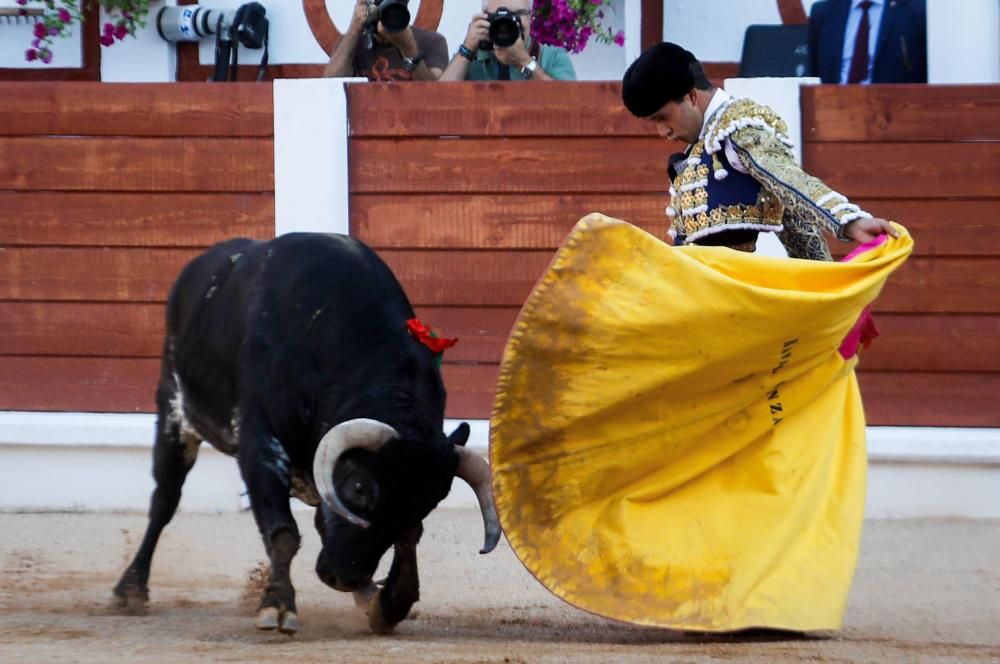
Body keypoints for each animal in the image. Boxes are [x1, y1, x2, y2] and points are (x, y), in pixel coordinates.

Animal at [113, 232, 500, 632]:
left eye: (427, 504)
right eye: (360, 488)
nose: (344, 577)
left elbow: (407, 537)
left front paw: (389, 602)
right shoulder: (260, 445)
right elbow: (283, 532)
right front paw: (278, 605)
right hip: (174, 412)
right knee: (164, 501)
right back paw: (132, 589)